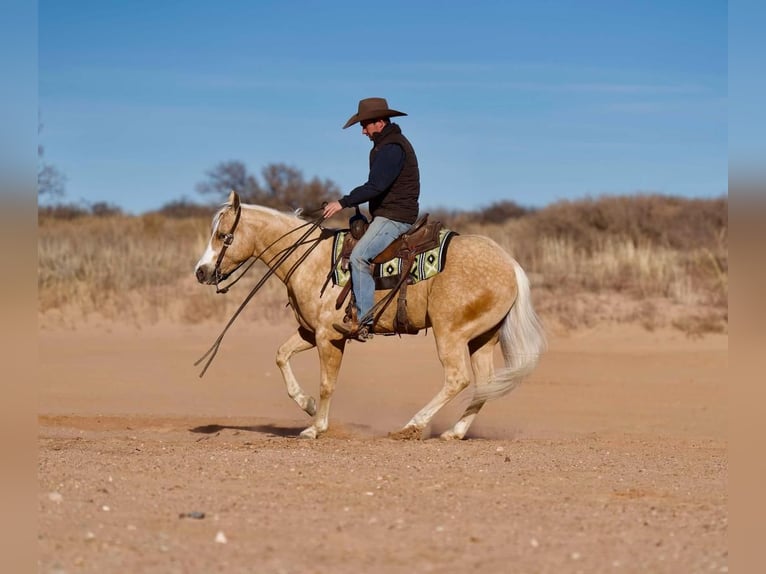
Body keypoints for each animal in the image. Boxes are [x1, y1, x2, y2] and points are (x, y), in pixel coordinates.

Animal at [195, 191, 548, 438]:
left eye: (223, 236)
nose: (202, 272)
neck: (310, 258)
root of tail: (510, 264)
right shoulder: (310, 332)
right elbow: (281, 356)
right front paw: (307, 406)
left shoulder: (329, 336)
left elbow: (327, 383)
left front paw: (315, 427)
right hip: (482, 338)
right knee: (484, 383)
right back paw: (454, 432)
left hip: (451, 333)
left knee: (457, 378)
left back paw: (412, 426)